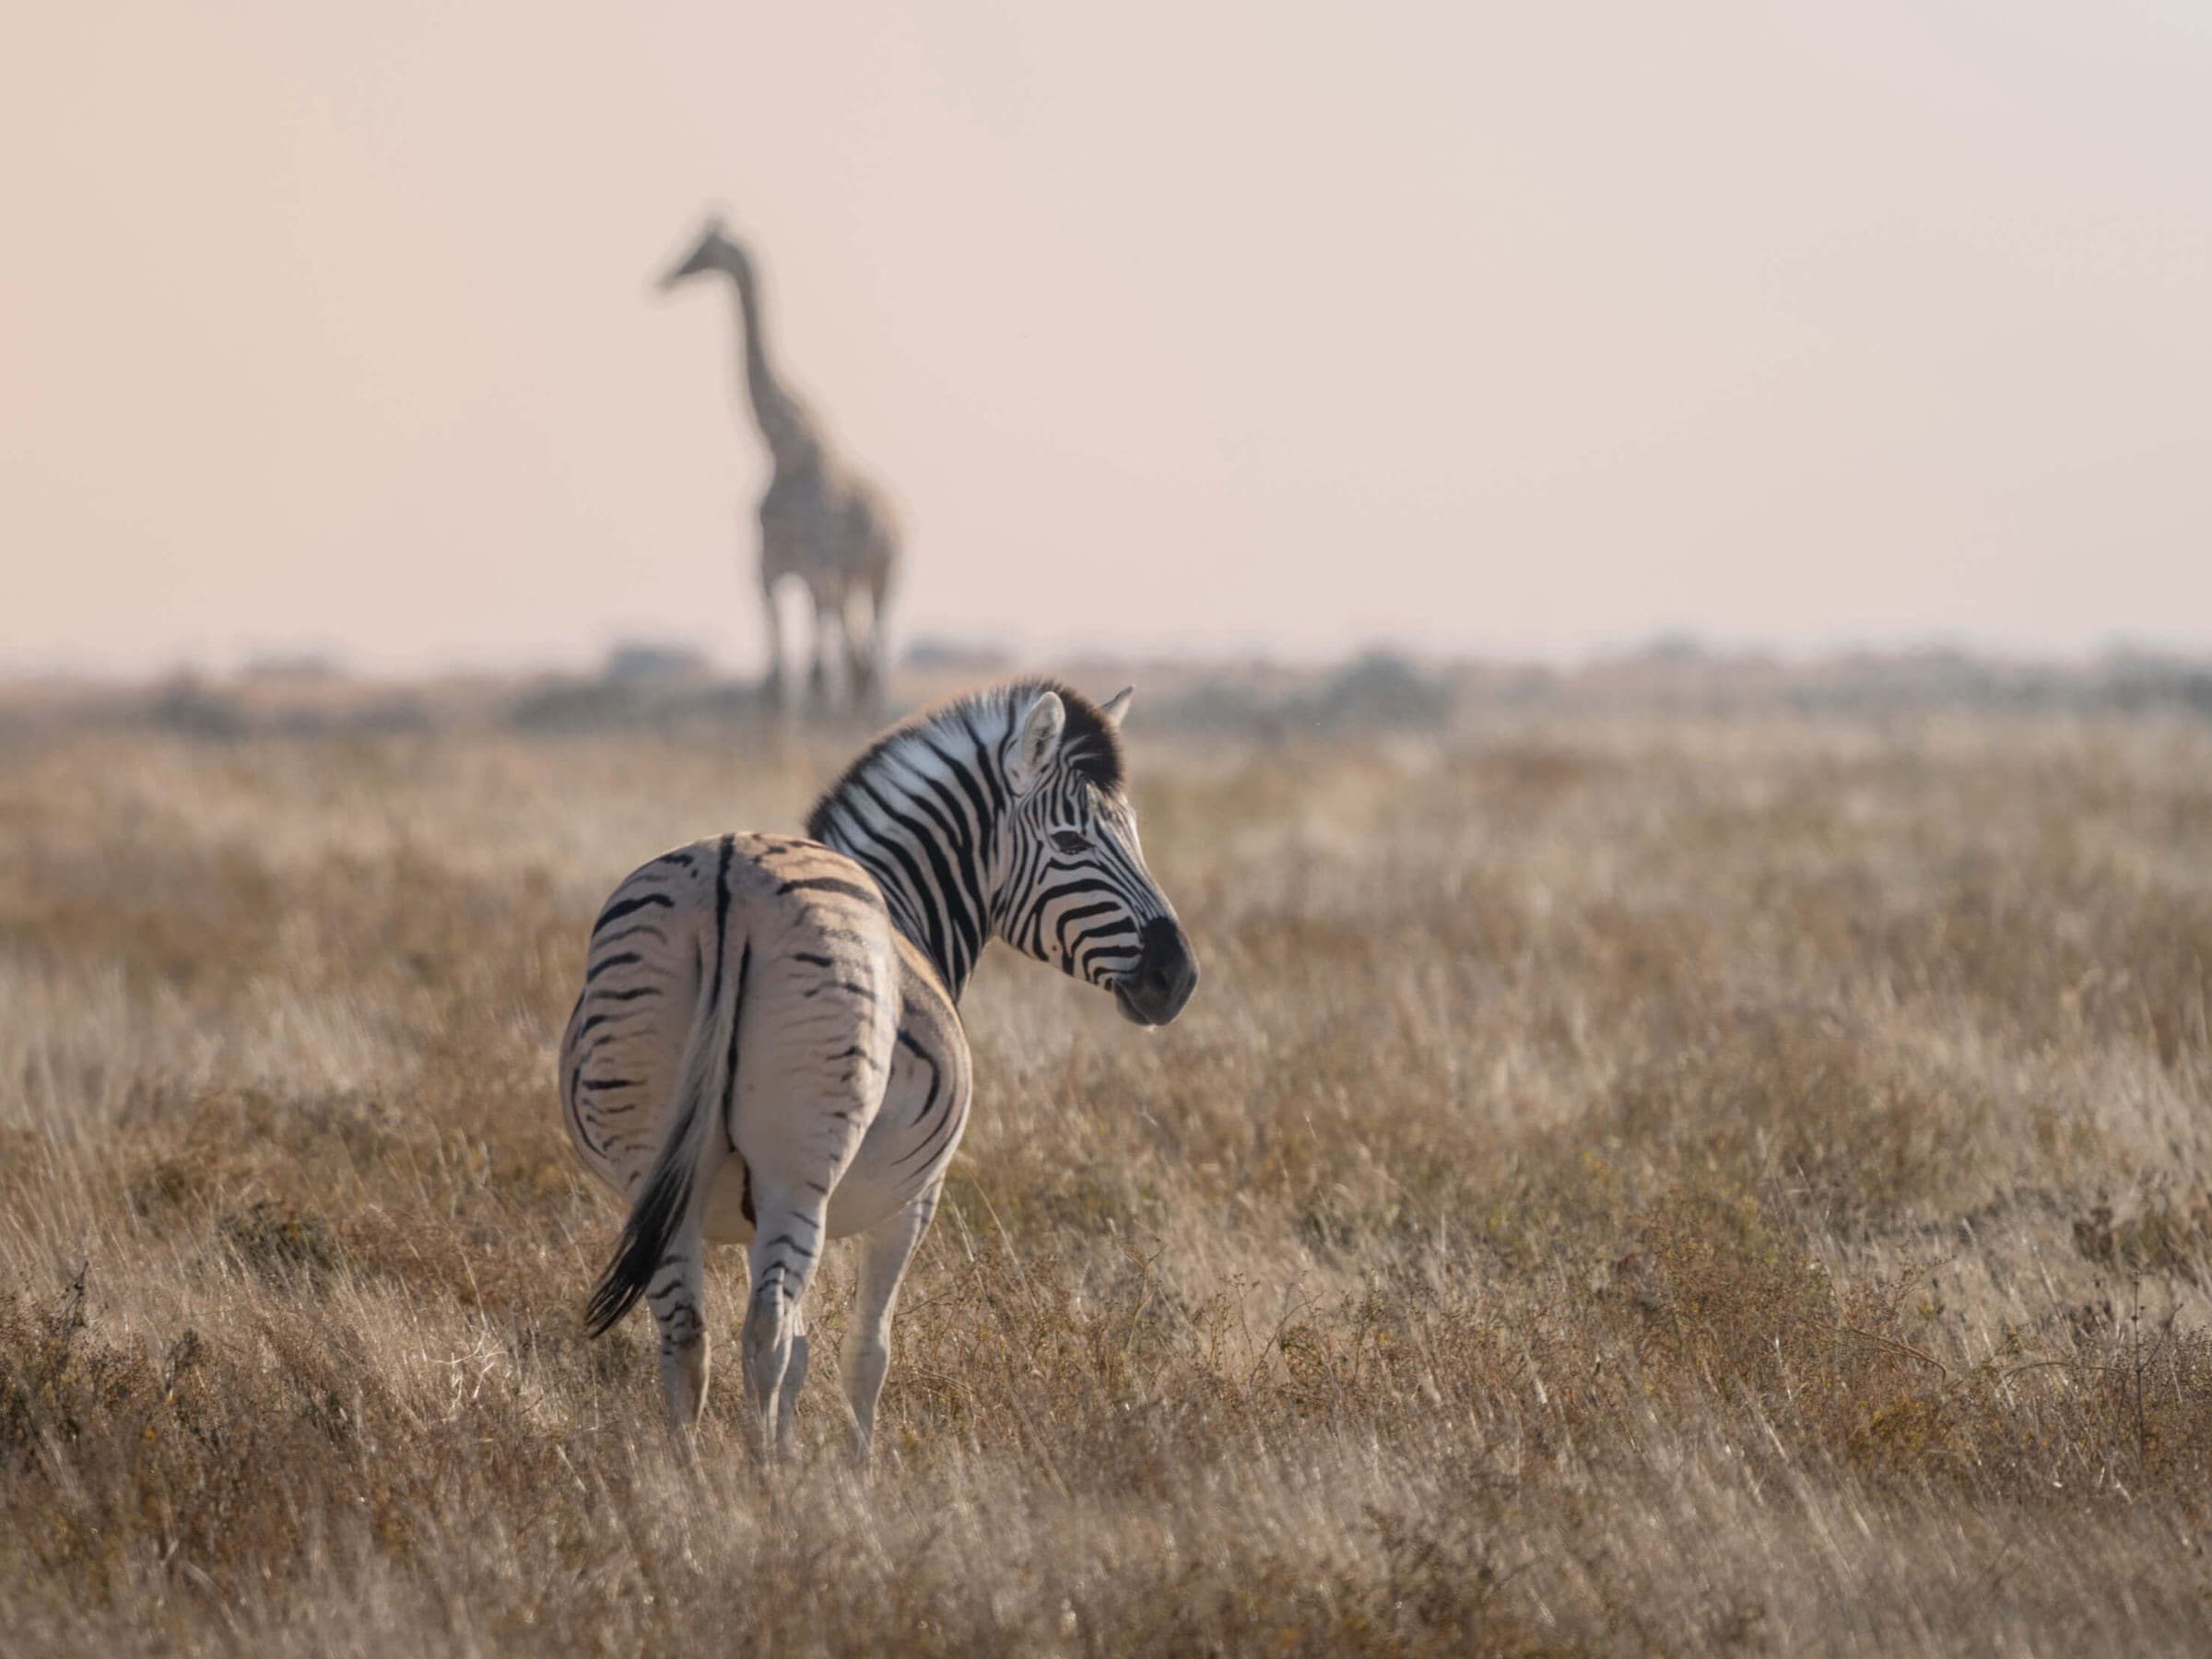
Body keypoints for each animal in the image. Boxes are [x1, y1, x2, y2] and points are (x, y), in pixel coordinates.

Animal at [558, 679, 1198, 1455]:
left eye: (1132, 834)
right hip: (801, 1166)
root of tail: (728, 876)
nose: (1179, 977)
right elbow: (866, 1352)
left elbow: (805, 1351)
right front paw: (856, 1473)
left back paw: (695, 1481)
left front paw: (792, 1450)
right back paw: (758, 1480)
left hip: (654, 1162)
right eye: (1072, 841)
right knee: (764, 1334)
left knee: (688, 1339)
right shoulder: (914, 1198)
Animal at [660, 216, 900, 714]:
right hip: (851, 581)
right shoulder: (766, 567)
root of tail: (898, 516)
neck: (778, 450)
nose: (665, 277)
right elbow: (774, 679)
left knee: (871, 647)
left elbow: (814, 671)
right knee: (852, 651)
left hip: (886, 574)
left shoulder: (814, 566)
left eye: (703, 247)